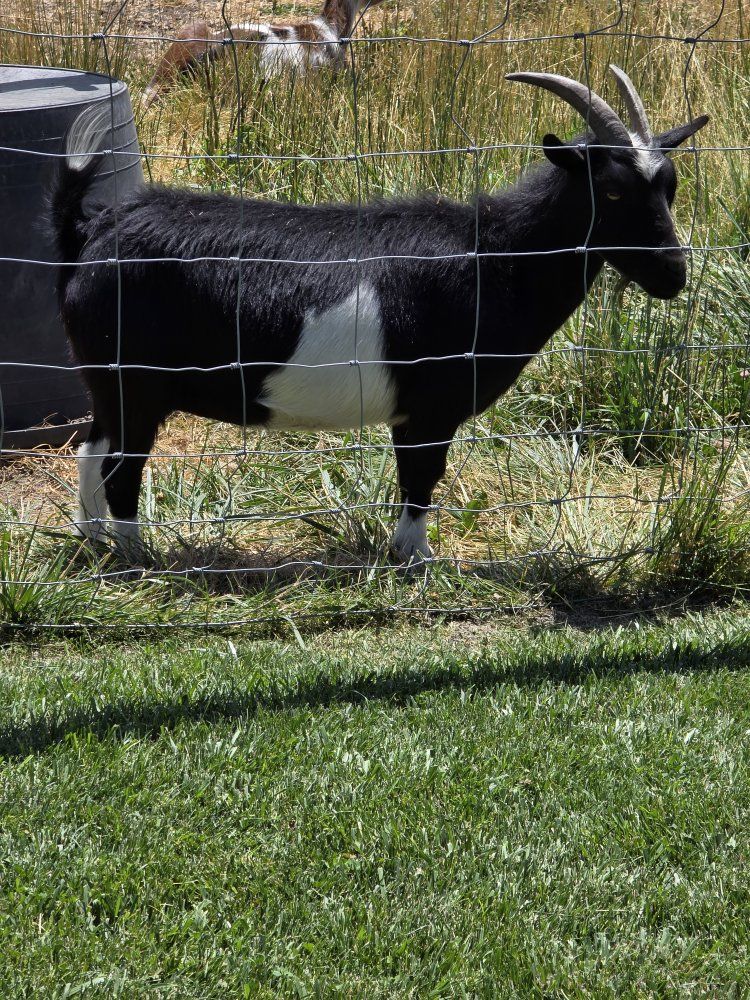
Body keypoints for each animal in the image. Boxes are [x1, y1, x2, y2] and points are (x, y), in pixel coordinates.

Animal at [51, 67, 707, 562]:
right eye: (613, 191)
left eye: (670, 186)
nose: (672, 274)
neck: (495, 254)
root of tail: (91, 233)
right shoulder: (430, 407)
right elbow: (421, 478)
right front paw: (416, 561)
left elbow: (415, 478)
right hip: (136, 387)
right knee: (120, 468)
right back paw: (138, 558)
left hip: (108, 385)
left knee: (90, 450)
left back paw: (95, 544)